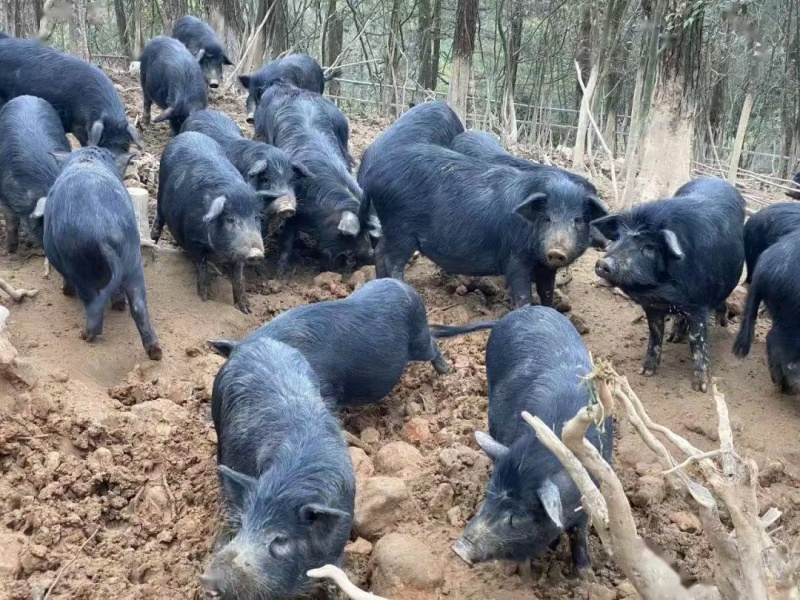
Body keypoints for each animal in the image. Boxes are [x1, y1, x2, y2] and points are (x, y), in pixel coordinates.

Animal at [592, 177, 748, 394]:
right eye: (618, 238)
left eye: (648, 247)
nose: (603, 263)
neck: (663, 292)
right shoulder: (651, 306)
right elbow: (655, 335)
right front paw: (645, 372)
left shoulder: (699, 304)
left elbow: (698, 342)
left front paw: (700, 387)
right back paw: (674, 337)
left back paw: (721, 324)